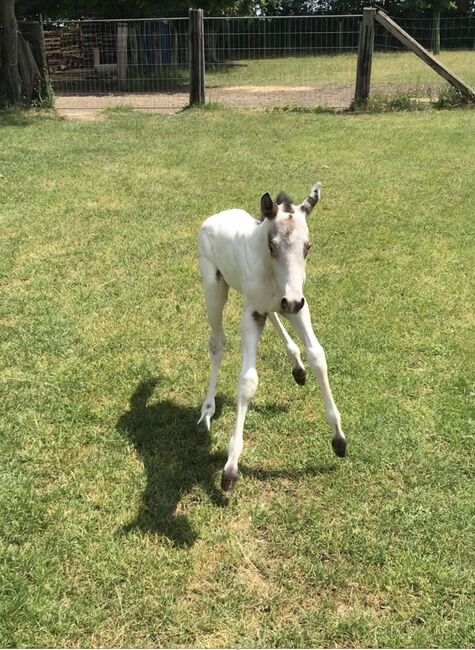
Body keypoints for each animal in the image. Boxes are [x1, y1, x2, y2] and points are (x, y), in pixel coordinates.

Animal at [197, 180, 346, 488]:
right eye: (272, 245)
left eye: (308, 247)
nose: (291, 300)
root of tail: (215, 217)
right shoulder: (252, 313)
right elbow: (248, 380)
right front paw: (230, 467)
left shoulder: (299, 306)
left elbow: (318, 356)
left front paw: (339, 439)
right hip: (213, 287)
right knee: (217, 343)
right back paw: (206, 412)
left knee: (275, 315)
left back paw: (296, 365)